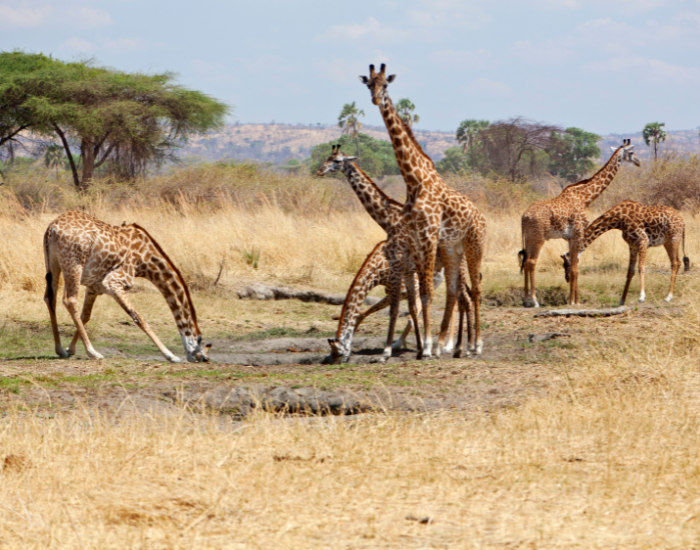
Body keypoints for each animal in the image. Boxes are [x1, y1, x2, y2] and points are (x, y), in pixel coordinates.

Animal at [43, 211, 210, 363]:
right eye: (204, 354)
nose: (205, 359)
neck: (145, 261)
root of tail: (52, 227)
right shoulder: (113, 282)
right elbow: (138, 317)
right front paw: (171, 355)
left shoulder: (94, 286)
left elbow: (85, 316)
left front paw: (70, 349)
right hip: (74, 264)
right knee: (69, 300)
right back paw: (93, 352)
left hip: (53, 263)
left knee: (50, 298)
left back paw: (59, 350)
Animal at [316, 146, 471, 362]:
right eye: (327, 158)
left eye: (337, 161)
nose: (320, 171)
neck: (391, 218)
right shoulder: (405, 273)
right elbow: (408, 310)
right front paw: (417, 347)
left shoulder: (399, 270)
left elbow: (396, 310)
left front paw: (389, 351)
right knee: (459, 298)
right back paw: (455, 346)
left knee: (463, 300)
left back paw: (457, 346)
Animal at [360, 63, 486, 358]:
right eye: (369, 84)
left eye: (385, 85)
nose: (375, 99)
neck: (413, 180)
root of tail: (482, 216)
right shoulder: (417, 239)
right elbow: (423, 292)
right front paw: (425, 346)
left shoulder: (428, 235)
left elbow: (426, 290)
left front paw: (426, 347)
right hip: (452, 249)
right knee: (454, 291)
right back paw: (451, 345)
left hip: (474, 243)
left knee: (475, 290)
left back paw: (475, 345)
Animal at [519, 139, 641, 307]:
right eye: (631, 152)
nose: (638, 162)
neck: (584, 198)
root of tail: (524, 217)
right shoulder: (578, 232)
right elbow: (575, 268)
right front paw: (572, 302)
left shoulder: (570, 237)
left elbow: (574, 265)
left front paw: (574, 300)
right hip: (539, 237)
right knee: (531, 262)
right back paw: (534, 301)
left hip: (529, 237)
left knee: (525, 261)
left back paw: (526, 300)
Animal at [561, 200, 689, 305]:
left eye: (566, 265)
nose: (567, 279)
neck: (618, 220)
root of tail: (683, 222)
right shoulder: (632, 245)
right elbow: (630, 271)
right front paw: (622, 300)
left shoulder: (643, 240)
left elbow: (641, 267)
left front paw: (641, 297)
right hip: (667, 242)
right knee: (677, 262)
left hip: (673, 238)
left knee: (675, 263)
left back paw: (668, 297)